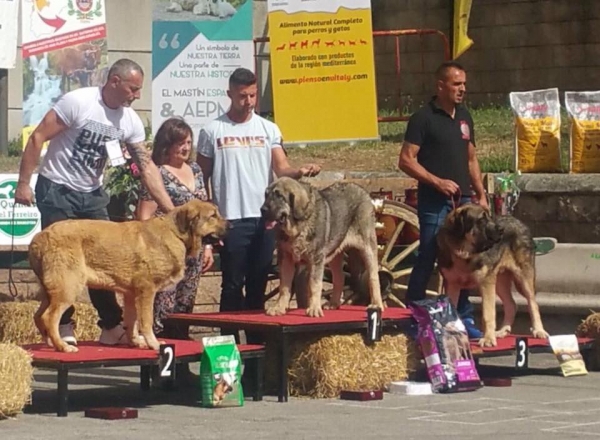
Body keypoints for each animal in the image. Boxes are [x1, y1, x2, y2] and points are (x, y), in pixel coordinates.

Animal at [27, 201, 227, 352]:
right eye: (213, 216)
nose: (231, 225)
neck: (176, 233)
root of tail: (39, 238)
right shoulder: (147, 291)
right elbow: (146, 321)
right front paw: (153, 344)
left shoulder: (131, 294)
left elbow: (132, 320)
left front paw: (135, 342)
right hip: (68, 288)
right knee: (49, 317)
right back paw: (63, 346)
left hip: (51, 291)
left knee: (38, 316)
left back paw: (51, 343)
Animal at [436, 204, 548, 348]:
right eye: (481, 219)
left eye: (489, 216)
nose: (501, 230)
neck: (463, 253)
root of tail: (519, 222)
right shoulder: (451, 284)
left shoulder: (486, 283)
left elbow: (488, 314)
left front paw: (488, 339)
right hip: (500, 281)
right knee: (511, 304)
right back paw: (502, 331)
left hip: (523, 278)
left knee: (532, 303)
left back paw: (539, 330)